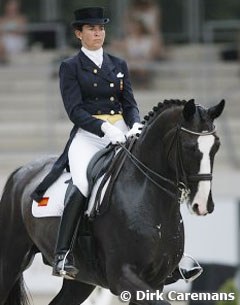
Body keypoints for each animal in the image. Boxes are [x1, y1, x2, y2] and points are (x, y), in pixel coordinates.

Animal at [0, 98, 225, 302]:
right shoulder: (123, 277)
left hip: (81, 281)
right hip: (10, 261)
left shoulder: (156, 281)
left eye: (216, 146)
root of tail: (20, 172)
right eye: (190, 147)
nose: (203, 205)